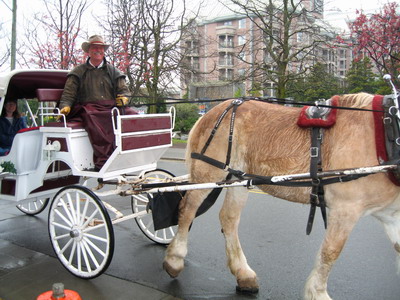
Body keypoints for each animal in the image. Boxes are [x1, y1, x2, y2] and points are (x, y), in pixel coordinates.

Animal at [162, 92, 400, 298]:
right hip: (209, 171)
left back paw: (243, 274)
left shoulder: (392, 214)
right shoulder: (345, 208)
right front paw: (317, 293)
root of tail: (216, 109)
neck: (386, 131)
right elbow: (331, 252)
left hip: (239, 178)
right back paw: (175, 259)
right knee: (187, 210)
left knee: (228, 218)